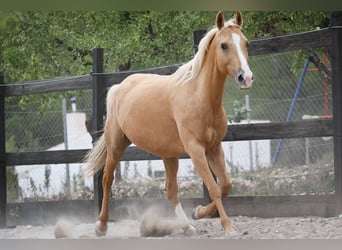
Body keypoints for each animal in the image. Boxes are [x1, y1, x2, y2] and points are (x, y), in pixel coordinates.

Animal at [84, 10, 252, 237]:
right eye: (224, 45)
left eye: (245, 43)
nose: (246, 77)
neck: (200, 97)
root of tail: (120, 87)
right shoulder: (196, 150)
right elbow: (214, 189)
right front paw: (228, 227)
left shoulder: (214, 147)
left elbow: (226, 185)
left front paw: (198, 212)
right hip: (117, 145)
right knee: (107, 180)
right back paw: (101, 226)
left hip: (169, 154)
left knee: (171, 190)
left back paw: (187, 226)